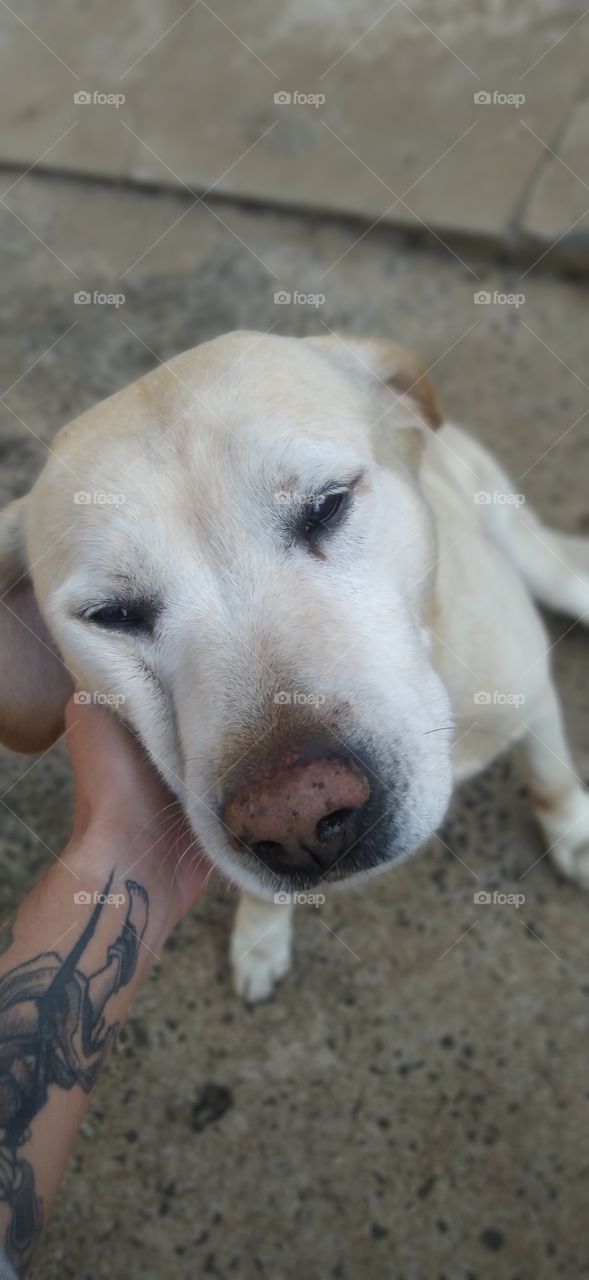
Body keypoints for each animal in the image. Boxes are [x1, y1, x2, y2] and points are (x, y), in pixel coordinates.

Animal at [0, 332, 586, 998]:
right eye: (112, 614)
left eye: (327, 505)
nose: (296, 817)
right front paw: (261, 936)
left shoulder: (529, 689)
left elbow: (549, 771)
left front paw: (572, 831)